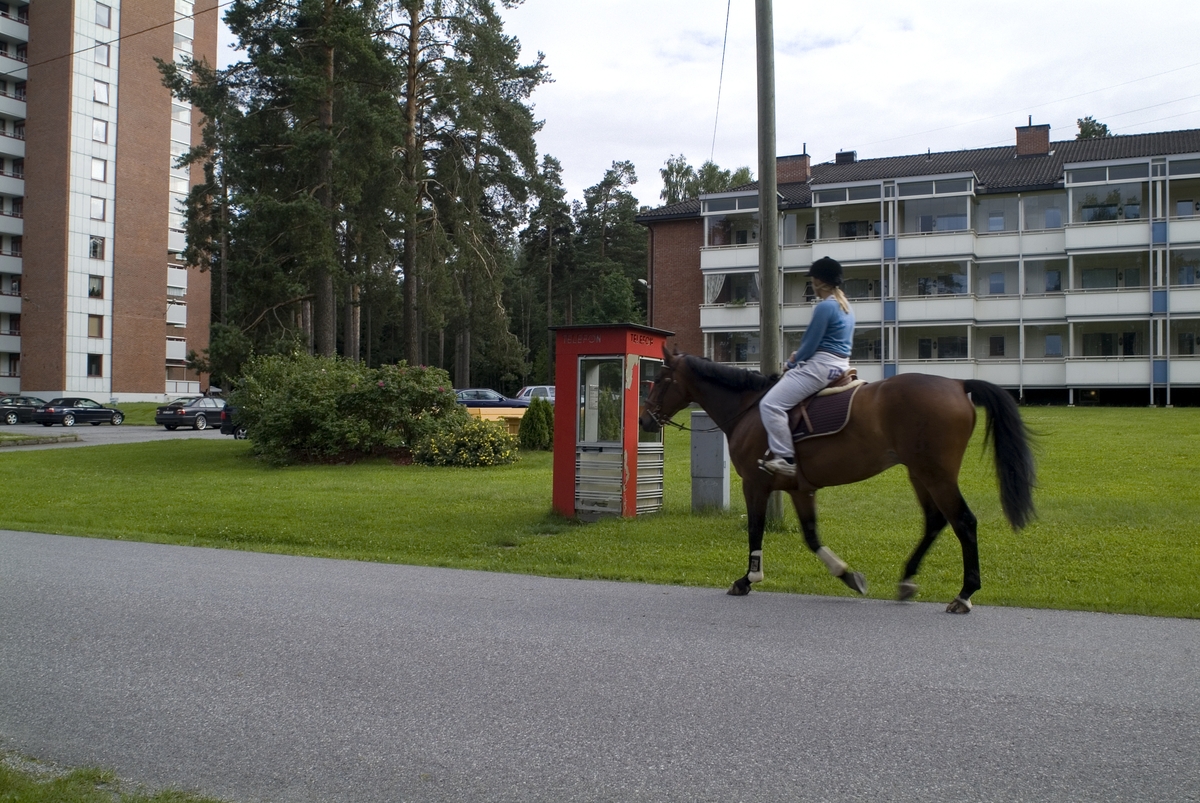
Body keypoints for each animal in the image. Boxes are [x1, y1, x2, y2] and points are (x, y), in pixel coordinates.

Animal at [643, 345, 1036, 614]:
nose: (645, 420)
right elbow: (812, 536)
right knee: (936, 521)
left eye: (659, 380)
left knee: (963, 522)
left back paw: (964, 594)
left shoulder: (755, 484)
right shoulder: (800, 489)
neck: (750, 408)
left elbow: (756, 529)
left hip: (935, 474)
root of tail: (956, 382)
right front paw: (848, 576)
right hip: (919, 473)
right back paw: (908, 578)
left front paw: (748, 579)